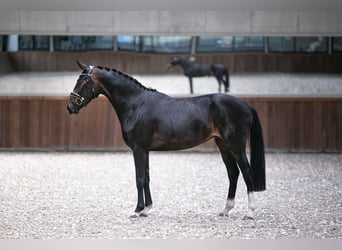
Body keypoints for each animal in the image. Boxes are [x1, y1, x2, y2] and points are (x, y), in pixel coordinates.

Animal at [66, 61, 264, 220]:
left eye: (82, 81)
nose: (70, 106)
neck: (136, 104)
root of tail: (245, 105)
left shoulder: (138, 149)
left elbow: (139, 178)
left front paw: (137, 210)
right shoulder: (145, 150)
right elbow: (146, 177)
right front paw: (146, 209)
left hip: (236, 146)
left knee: (247, 173)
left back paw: (250, 212)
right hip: (223, 145)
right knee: (233, 173)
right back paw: (226, 210)